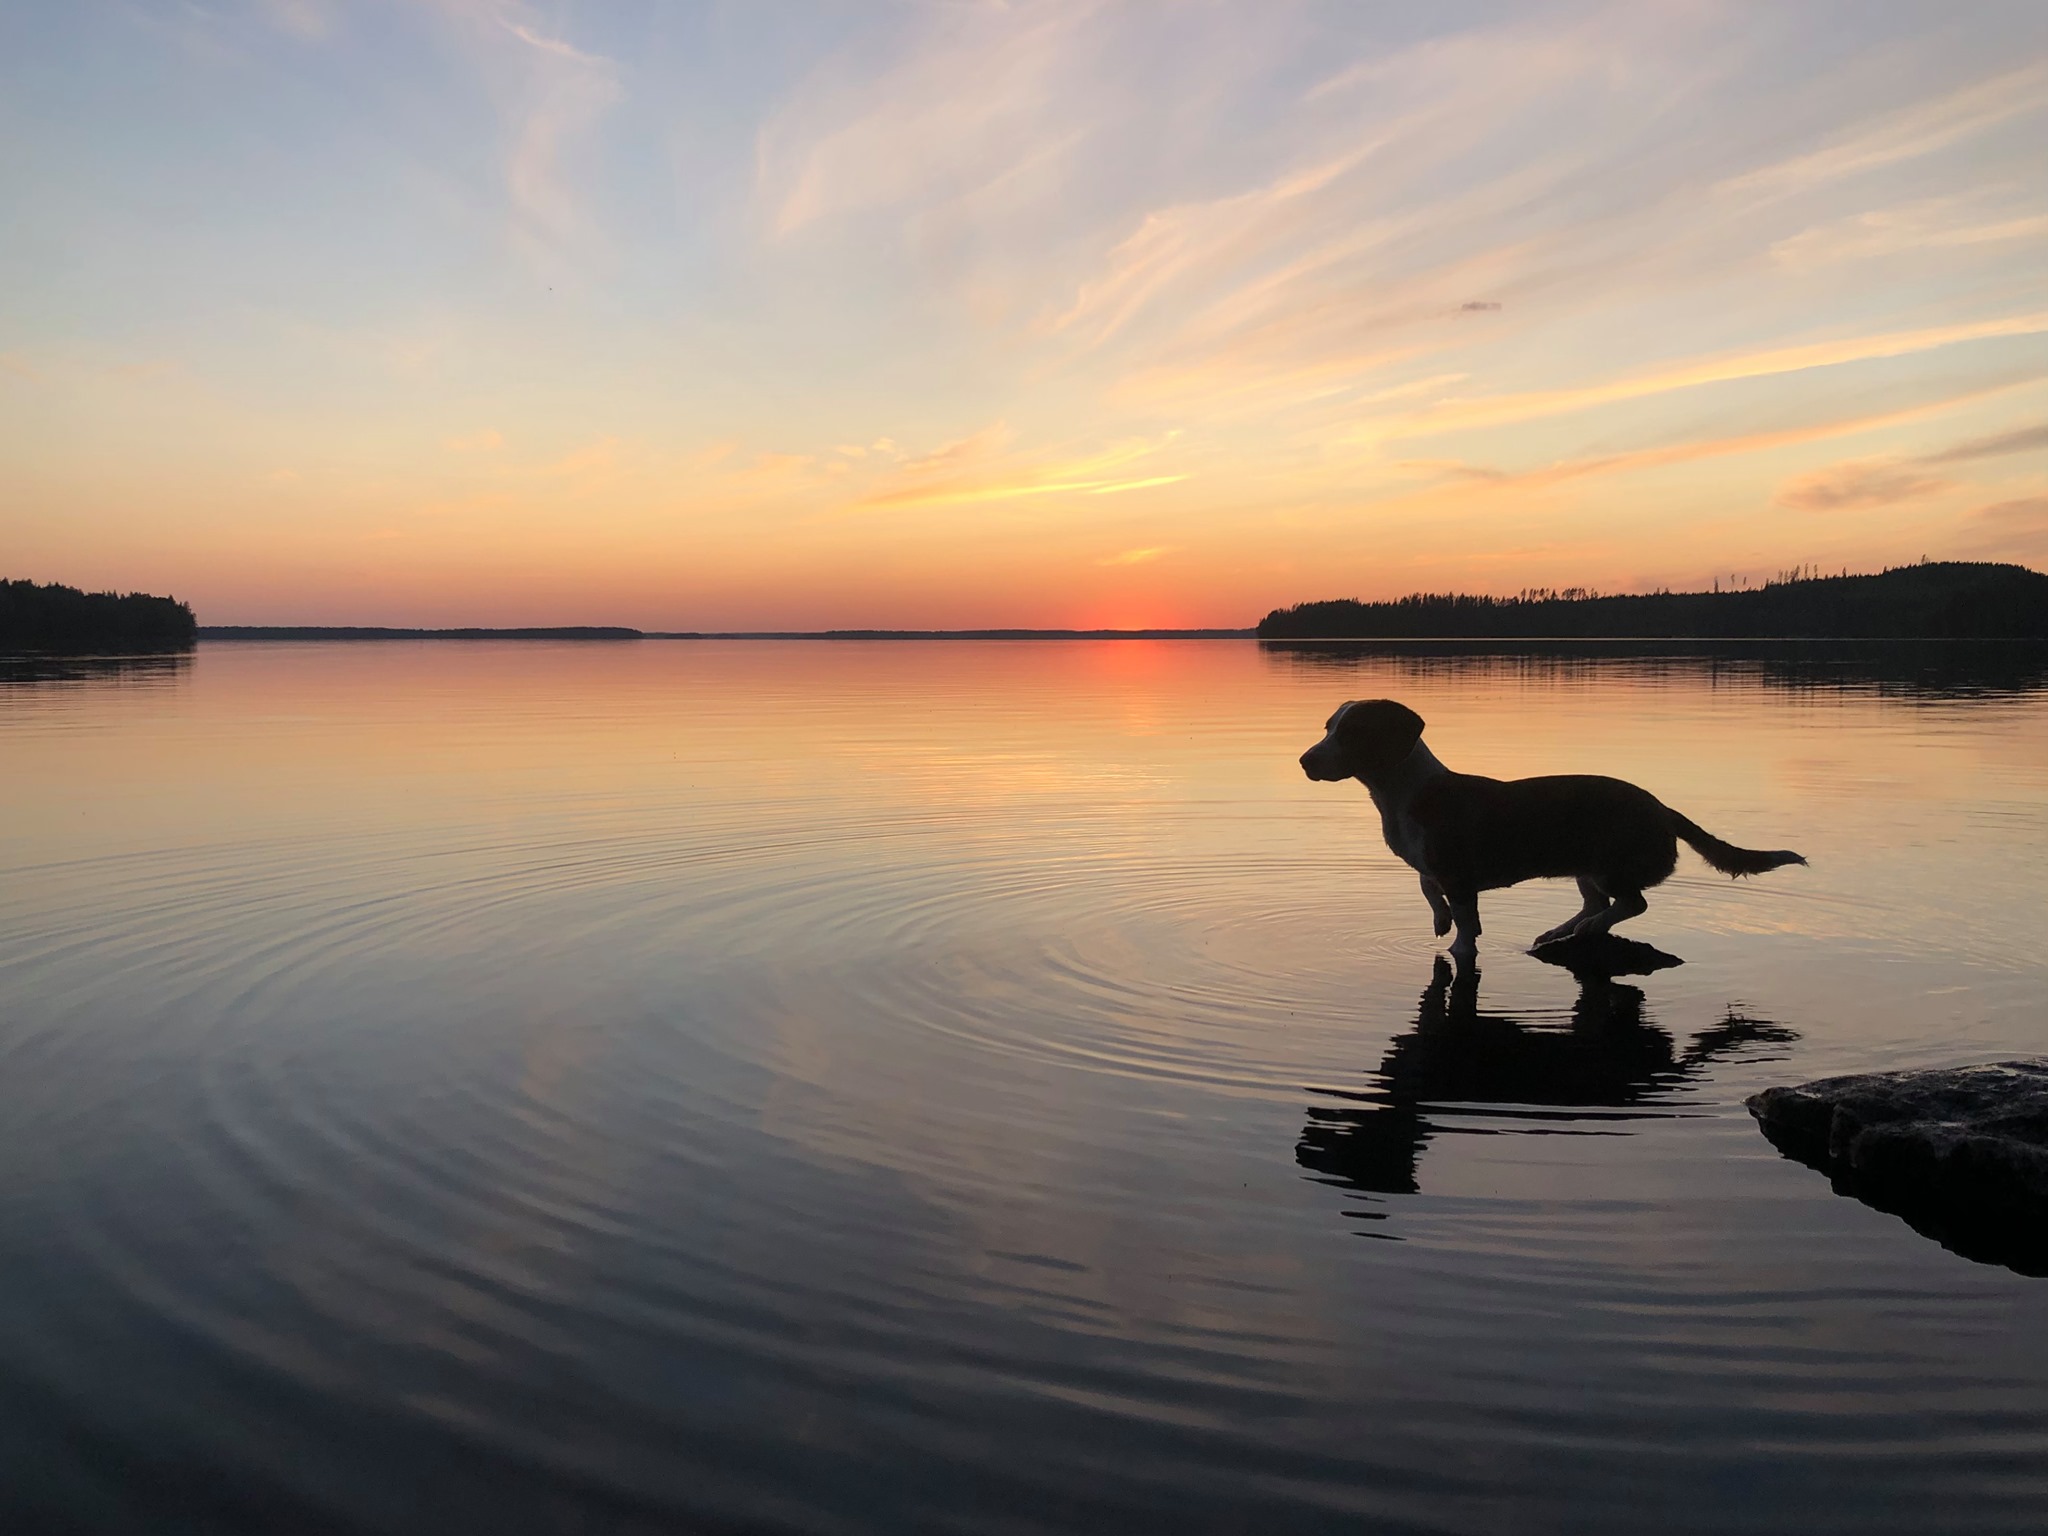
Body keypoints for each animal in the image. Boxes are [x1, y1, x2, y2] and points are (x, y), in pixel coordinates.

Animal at [1302, 700, 1802, 962]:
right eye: (1329, 727)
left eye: (1350, 732)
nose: (1306, 761)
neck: (1404, 792)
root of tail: (1662, 808)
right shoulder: (1431, 867)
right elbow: (1429, 890)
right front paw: (1439, 920)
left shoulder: (1459, 875)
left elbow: (1465, 922)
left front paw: (1461, 941)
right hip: (1587, 869)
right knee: (1596, 903)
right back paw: (1561, 930)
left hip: (1610, 865)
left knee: (1629, 904)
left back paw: (1588, 928)